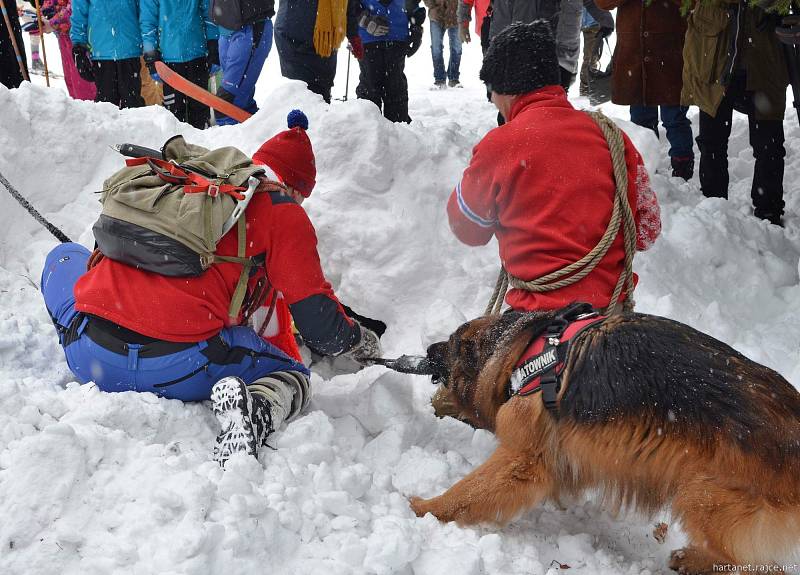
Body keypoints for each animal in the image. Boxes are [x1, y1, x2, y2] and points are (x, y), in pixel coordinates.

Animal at [412, 310, 800, 575]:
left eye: (450, 346)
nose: (428, 348)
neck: (523, 354)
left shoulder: (520, 461)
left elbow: (468, 492)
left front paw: (422, 509)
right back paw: (693, 558)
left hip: (703, 499)